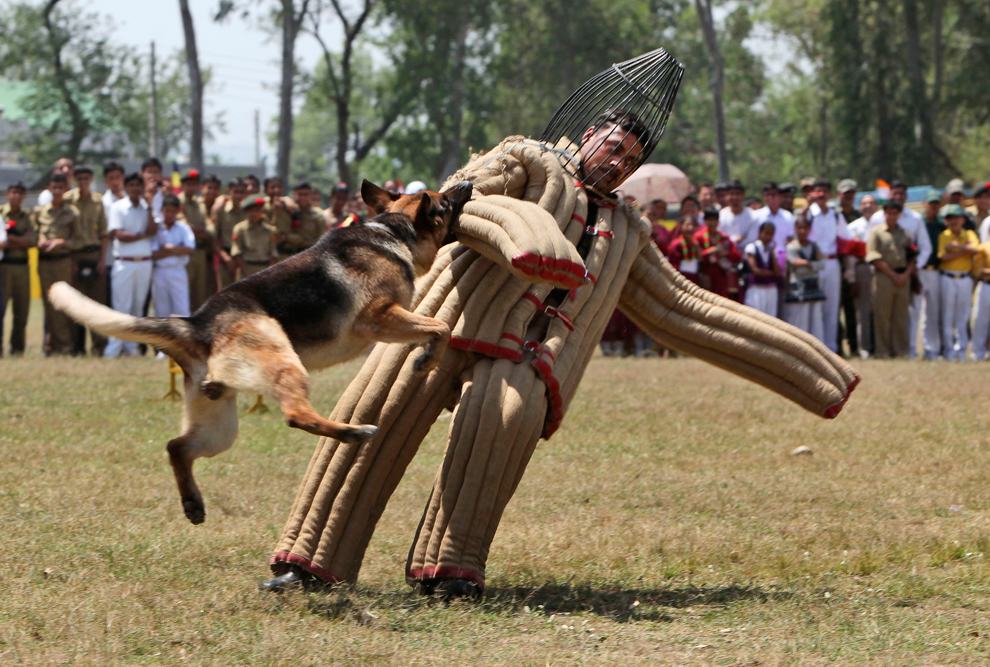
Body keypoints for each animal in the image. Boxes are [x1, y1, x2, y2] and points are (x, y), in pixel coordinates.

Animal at [48, 180, 474, 524]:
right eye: (444, 201)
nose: (467, 184)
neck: (394, 230)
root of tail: (198, 322)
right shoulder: (379, 317)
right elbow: (440, 327)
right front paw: (425, 359)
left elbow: (436, 327)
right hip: (283, 363)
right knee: (296, 415)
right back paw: (353, 432)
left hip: (220, 427)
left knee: (177, 447)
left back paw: (193, 503)